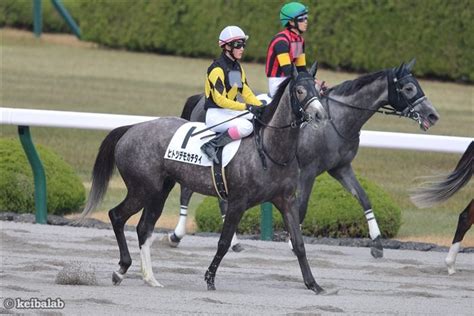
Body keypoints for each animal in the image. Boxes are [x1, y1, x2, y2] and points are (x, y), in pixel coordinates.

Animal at [81, 66, 330, 294]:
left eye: (318, 89)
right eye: (299, 90)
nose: (320, 115)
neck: (270, 150)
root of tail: (131, 129)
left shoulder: (286, 200)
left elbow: (298, 243)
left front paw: (314, 284)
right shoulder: (238, 202)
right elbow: (224, 242)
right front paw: (210, 278)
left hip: (160, 191)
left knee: (144, 228)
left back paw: (150, 278)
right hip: (141, 189)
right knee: (117, 216)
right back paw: (121, 269)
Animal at [168, 58, 440, 256]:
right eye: (408, 87)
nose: (433, 115)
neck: (335, 120)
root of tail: (200, 99)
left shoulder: (341, 168)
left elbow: (364, 198)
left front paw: (377, 243)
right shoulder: (308, 171)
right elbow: (302, 207)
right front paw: (292, 241)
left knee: (221, 197)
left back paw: (232, 240)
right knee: (187, 191)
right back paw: (176, 234)